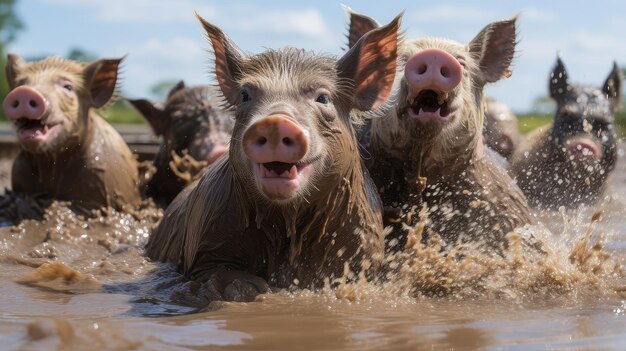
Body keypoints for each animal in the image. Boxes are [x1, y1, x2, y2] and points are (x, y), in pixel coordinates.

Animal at [1, 55, 141, 219]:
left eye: (67, 87)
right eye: (21, 83)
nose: (25, 91)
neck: (52, 165)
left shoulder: (101, 180)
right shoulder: (19, 175)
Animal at [145, 13, 400, 306]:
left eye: (323, 97)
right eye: (245, 95)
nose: (275, 121)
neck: (287, 224)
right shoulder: (204, 243)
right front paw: (249, 289)